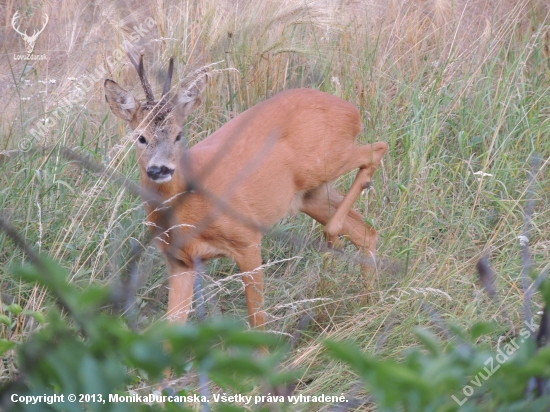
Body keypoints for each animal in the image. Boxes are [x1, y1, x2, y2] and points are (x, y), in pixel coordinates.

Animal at [103, 55, 388, 332]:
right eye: (140, 137)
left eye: (178, 135)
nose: (160, 169)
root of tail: (351, 110)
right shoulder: (180, 261)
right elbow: (169, 332)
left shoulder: (247, 239)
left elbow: (257, 321)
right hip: (310, 194)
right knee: (366, 231)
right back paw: (369, 300)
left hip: (324, 162)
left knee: (377, 148)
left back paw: (335, 239)